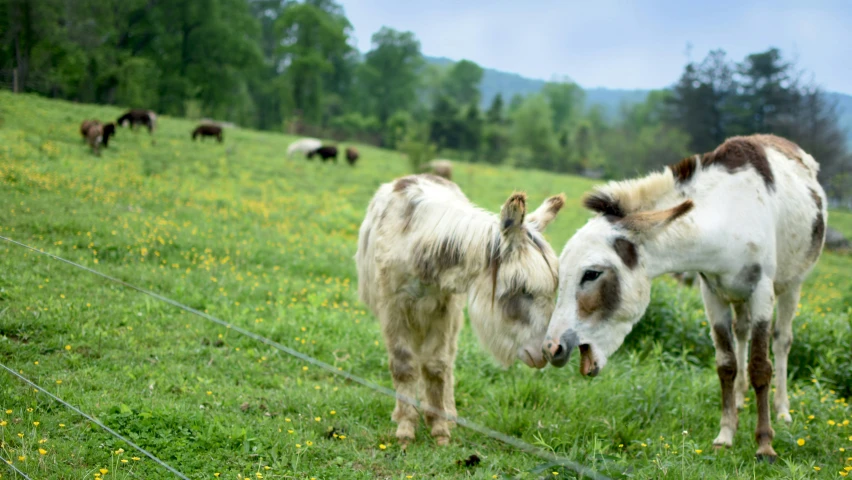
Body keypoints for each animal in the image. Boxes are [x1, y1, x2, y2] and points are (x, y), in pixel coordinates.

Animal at [358, 173, 564, 446]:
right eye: (521, 288)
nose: (548, 352)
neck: (418, 244)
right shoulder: (394, 307)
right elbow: (403, 365)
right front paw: (405, 429)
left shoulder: (442, 308)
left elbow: (436, 366)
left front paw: (439, 428)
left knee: (447, 360)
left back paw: (446, 413)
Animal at [544, 134, 828, 462]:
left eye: (591, 274)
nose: (552, 348)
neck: (727, 215)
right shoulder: (712, 293)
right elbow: (726, 364)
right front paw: (725, 435)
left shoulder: (761, 291)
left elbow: (760, 366)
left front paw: (765, 445)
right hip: (737, 295)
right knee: (741, 333)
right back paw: (740, 397)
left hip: (791, 285)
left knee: (782, 341)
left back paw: (782, 410)